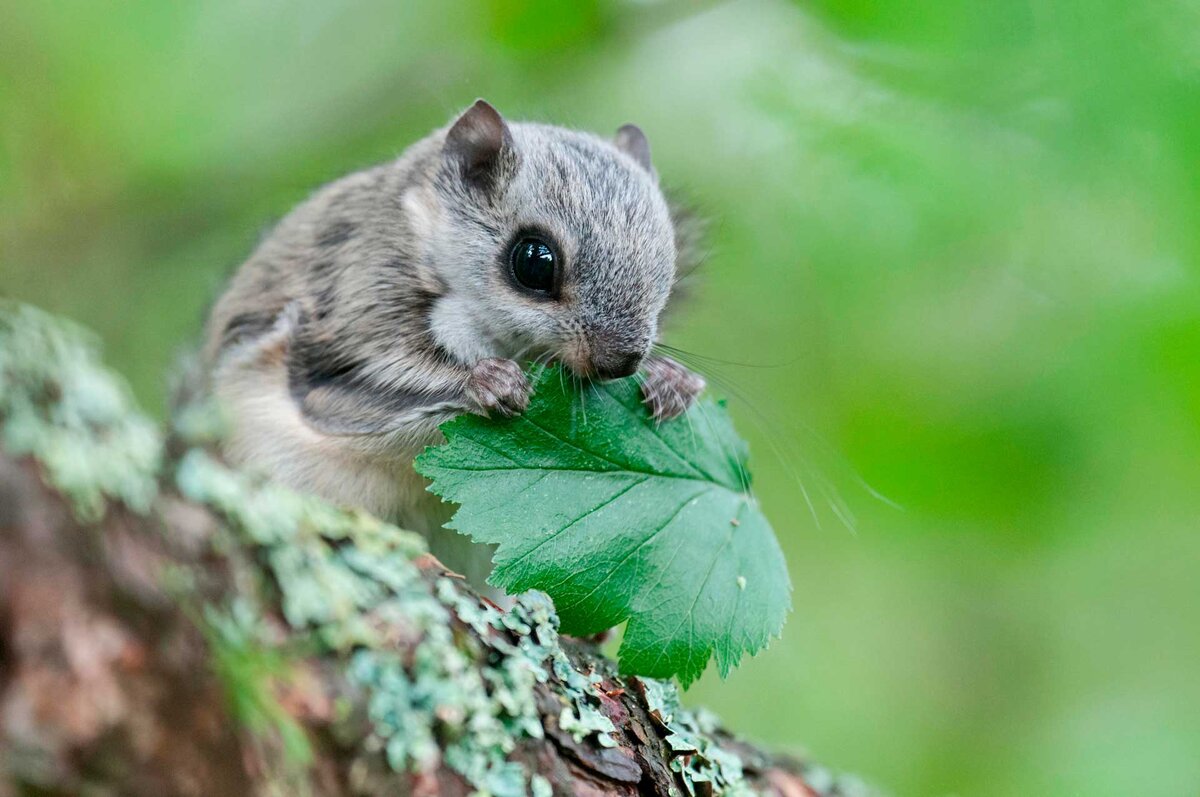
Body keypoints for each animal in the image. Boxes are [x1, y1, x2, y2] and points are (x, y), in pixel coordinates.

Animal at [199, 99, 700, 576]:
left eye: (668, 263)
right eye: (535, 262)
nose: (621, 362)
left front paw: (673, 381)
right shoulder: (353, 316)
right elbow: (350, 396)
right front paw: (488, 384)